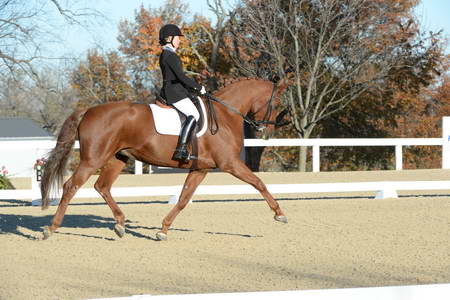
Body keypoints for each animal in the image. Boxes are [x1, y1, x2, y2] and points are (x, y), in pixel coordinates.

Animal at [41, 78, 288, 241]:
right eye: (275, 102)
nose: (267, 132)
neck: (225, 115)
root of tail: (88, 111)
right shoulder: (230, 164)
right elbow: (259, 183)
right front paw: (280, 214)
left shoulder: (200, 169)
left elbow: (183, 199)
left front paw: (163, 229)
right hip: (93, 160)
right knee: (71, 186)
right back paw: (50, 228)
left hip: (116, 159)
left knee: (102, 186)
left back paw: (120, 225)